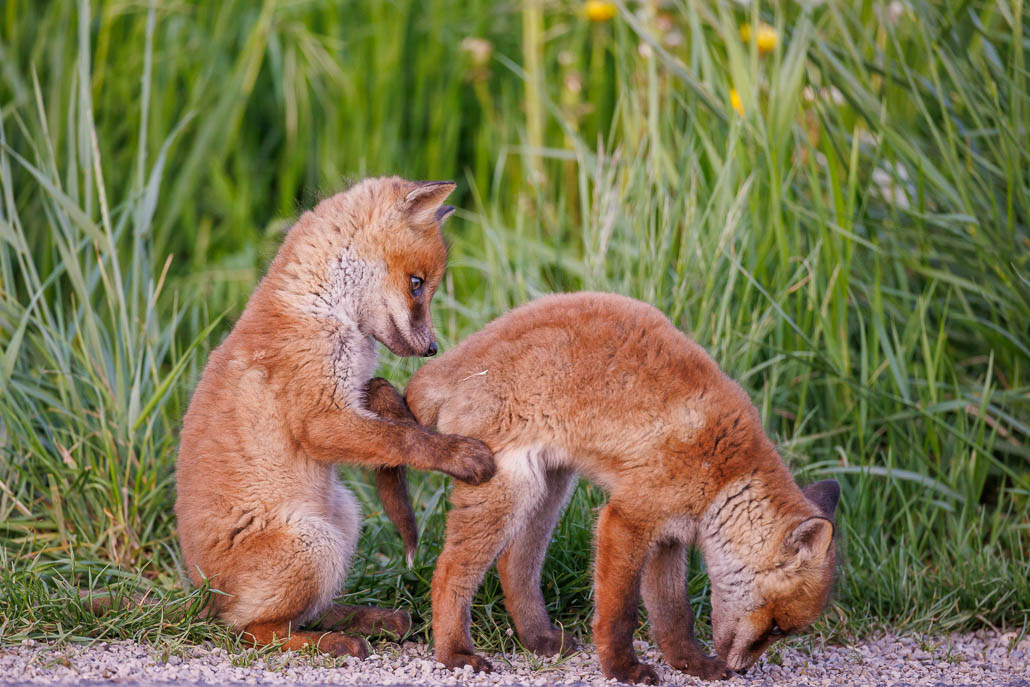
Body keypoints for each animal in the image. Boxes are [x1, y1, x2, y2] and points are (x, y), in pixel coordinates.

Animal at [174, 177, 496, 658]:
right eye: (417, 284)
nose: (432, 349)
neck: (320, 308)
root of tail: (202, 595)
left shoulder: (353, 390)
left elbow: (385, 397)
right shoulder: (321, 420)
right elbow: (404, 440)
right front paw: (459, 455)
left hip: (344, 519)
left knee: (305, 611)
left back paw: (369, 619)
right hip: (315, 545)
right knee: (251, 630)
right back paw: (334, 642)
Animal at [405, 292, 840, 683]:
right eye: (777, 627)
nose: (742, 671)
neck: (723, 470)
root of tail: (450, 361)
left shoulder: (669, 538)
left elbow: (674, 614)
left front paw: (692, 664)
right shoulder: (625, 520)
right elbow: (620, 612)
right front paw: (622, 668)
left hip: (550, 489)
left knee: (514, 566)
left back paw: (539, 638)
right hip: (507, 491)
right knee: (448, 572)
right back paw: (454, 653)